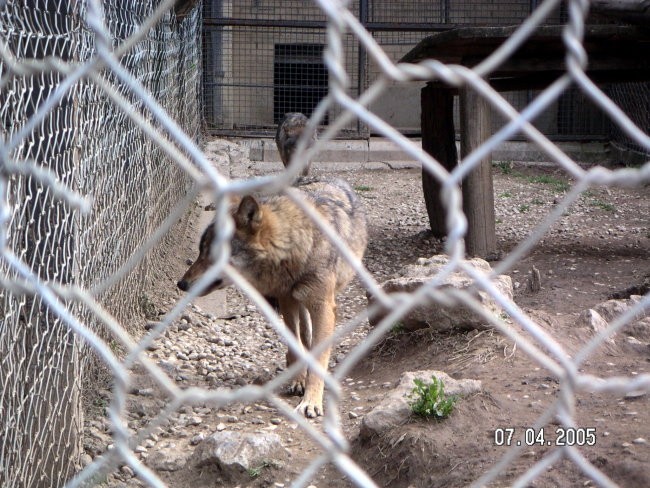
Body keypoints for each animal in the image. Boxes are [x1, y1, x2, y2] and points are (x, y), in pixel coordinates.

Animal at [177, 177, 368, 418]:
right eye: (200, 251)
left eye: (212, 254)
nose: (181, 284)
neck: (297, 248)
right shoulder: (287, 300)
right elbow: (295, 345)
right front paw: (298, 381)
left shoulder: (322, 306)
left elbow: (318, 356)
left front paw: (311, 401)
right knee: (302, 336)